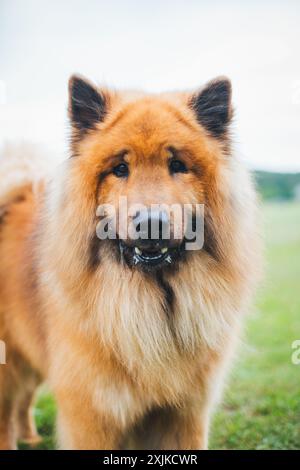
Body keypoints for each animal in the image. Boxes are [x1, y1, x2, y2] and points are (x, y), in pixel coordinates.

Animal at [0, 75, 260, 450]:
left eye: (177, 165)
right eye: (120, 169)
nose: (152, 222)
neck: (151, 304)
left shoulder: (185, 415)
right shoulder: (92, 414)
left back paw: (31, 436)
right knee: (6, 414)